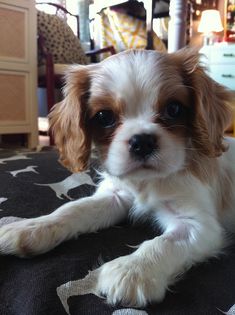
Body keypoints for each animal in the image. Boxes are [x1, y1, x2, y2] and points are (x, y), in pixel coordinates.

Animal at [0, 49, 235, 308]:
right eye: (104, 117)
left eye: (173, 109)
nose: (142, 141)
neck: (146, 182)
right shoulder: (116, 196)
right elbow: (73, 209)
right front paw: (31, 226)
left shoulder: (198, 224)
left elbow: (163, 243)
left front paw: (132, 270)